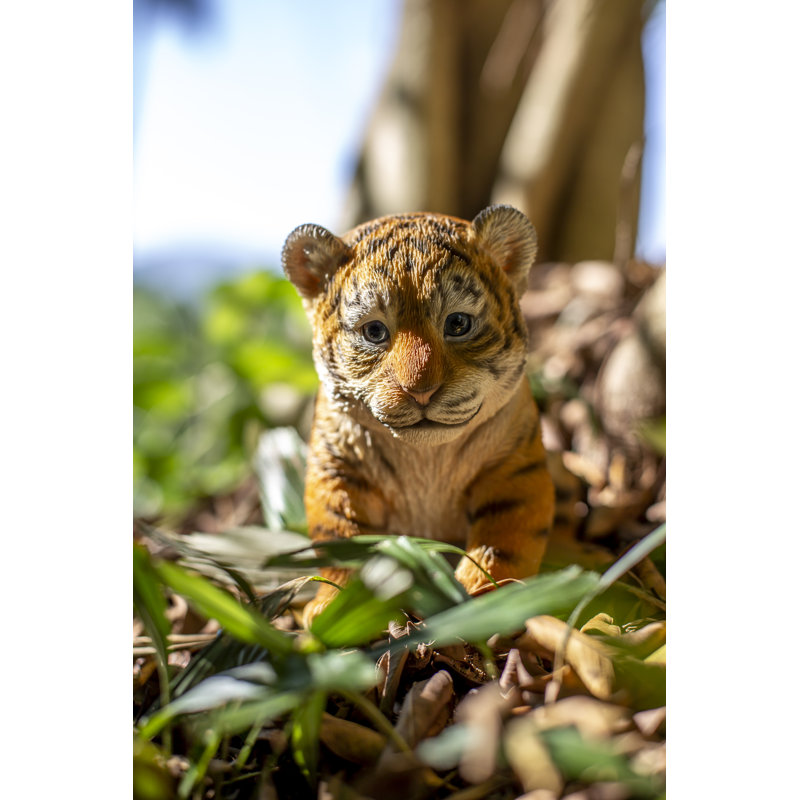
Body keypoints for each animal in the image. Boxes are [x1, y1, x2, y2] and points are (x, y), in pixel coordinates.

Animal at [281, 204, 555, 626]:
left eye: (457, 324)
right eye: (375, 331)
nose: (420, 389)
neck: (425, 459)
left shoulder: (513, 471)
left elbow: (502, 542)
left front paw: (488, 599)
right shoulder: (338, 471)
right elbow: (342, 537)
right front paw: (336, 612)